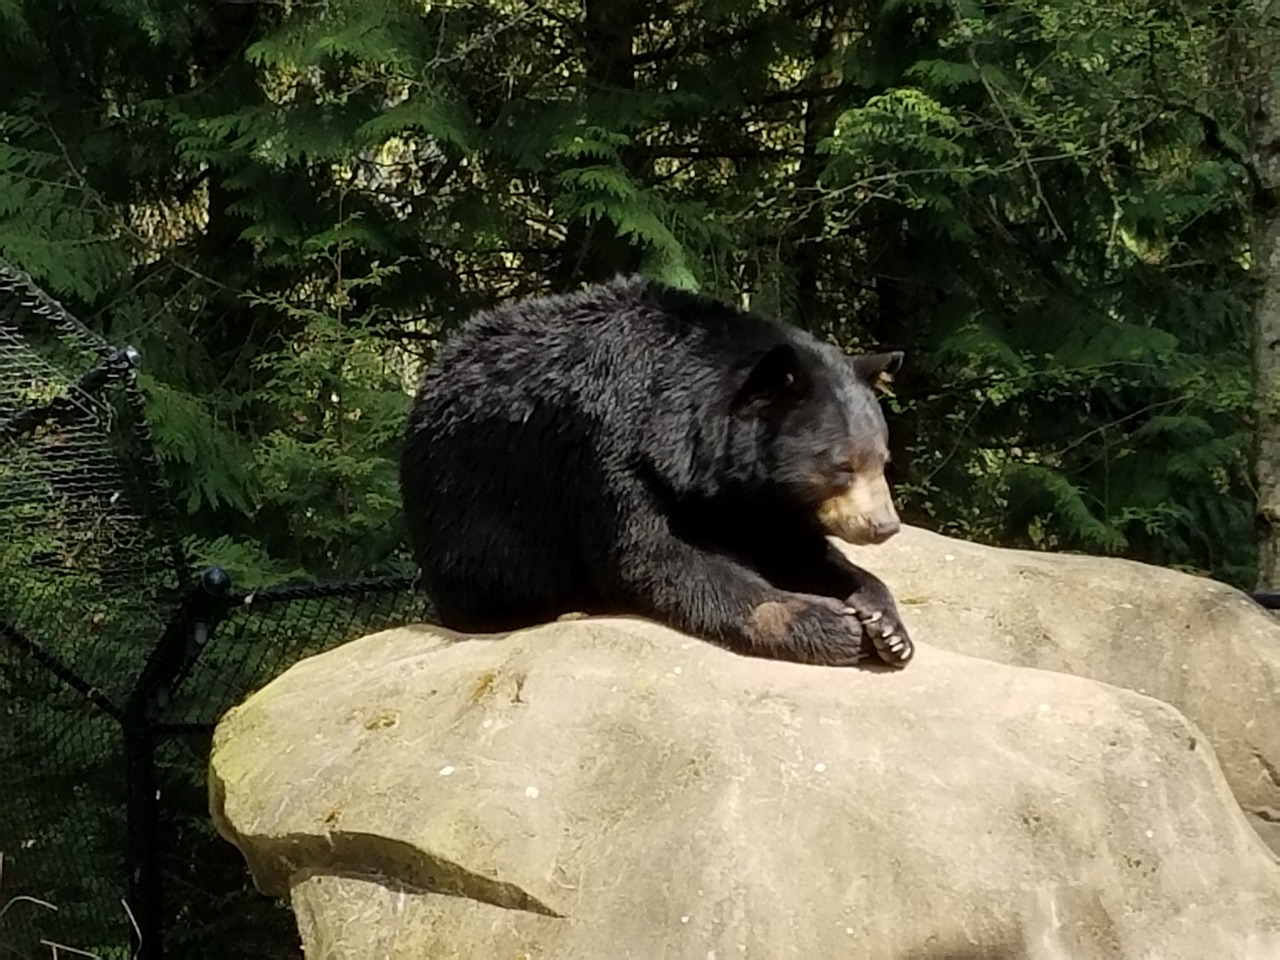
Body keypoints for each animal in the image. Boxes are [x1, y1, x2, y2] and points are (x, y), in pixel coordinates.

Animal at [399, 276, 911, 670]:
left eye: (882, 459)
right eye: (841, 466)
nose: (884, 525)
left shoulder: (751, 496)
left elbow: (794, 548)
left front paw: (887, 625)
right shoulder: (610, 448)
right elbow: (655, 556)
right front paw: (832, 625)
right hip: (468, 506)